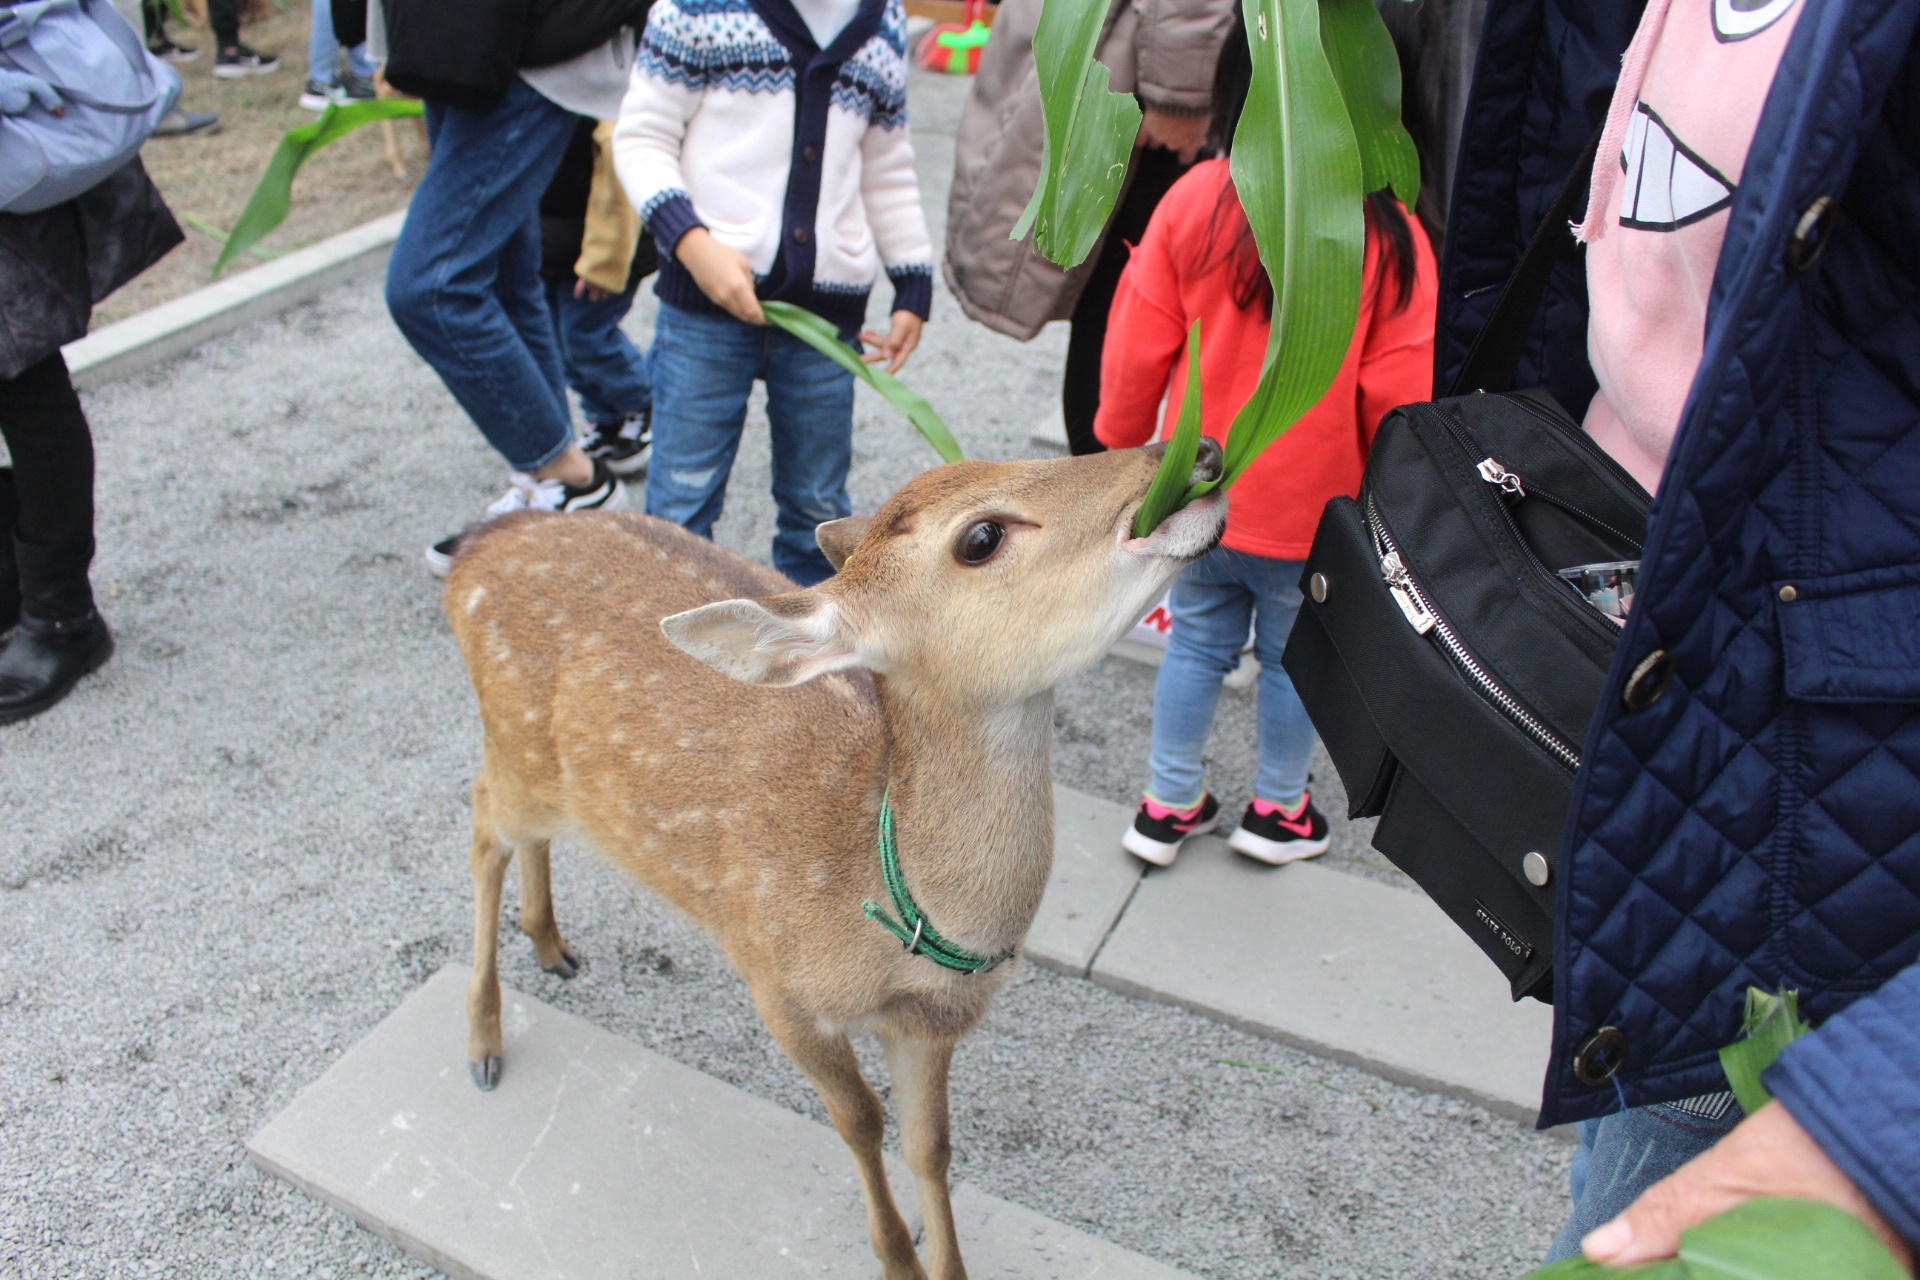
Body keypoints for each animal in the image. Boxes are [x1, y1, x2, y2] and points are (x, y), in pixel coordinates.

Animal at [442, 437, 1226, 1280]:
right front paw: (897, 1258)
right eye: (980, 538)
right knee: (481, 819)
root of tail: (474, 552)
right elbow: (859, 1120)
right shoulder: (779, 986)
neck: (890, 919)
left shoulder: (929, 1027)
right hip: (518, 748)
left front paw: (945, 1264)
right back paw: (483, 1043)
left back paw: (551, 944)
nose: (1199, 452)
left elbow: (931, 1145)